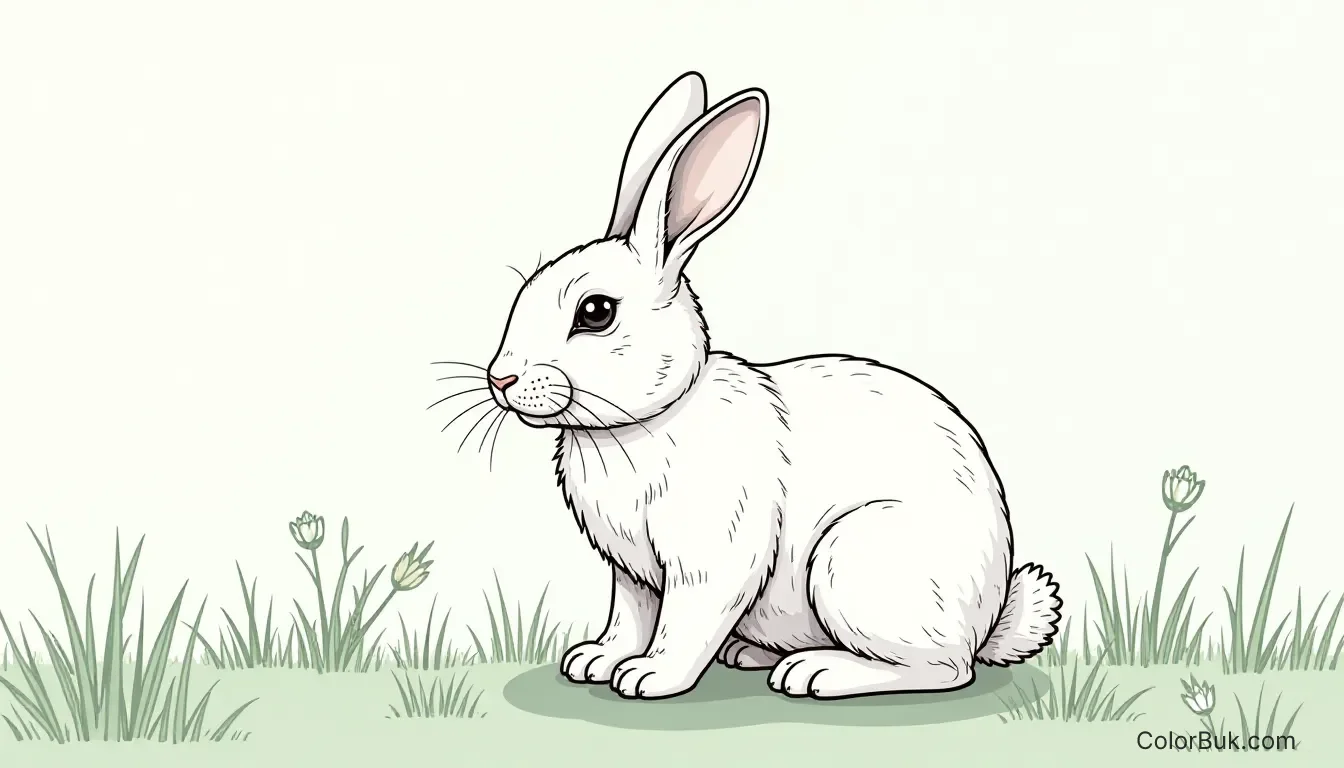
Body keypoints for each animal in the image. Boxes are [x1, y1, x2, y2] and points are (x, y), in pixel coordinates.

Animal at [480, 71, 1062, 700]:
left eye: (595, 312)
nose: (501, 378)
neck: (645, 423)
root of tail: (989, 616)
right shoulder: (632, 574)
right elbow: (628, 619)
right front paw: (595, 661)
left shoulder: (710, 558)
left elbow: (686, 622)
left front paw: (648, 677)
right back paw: (751, 656)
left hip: (853, 563)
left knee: (944, 668)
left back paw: (816, 673)